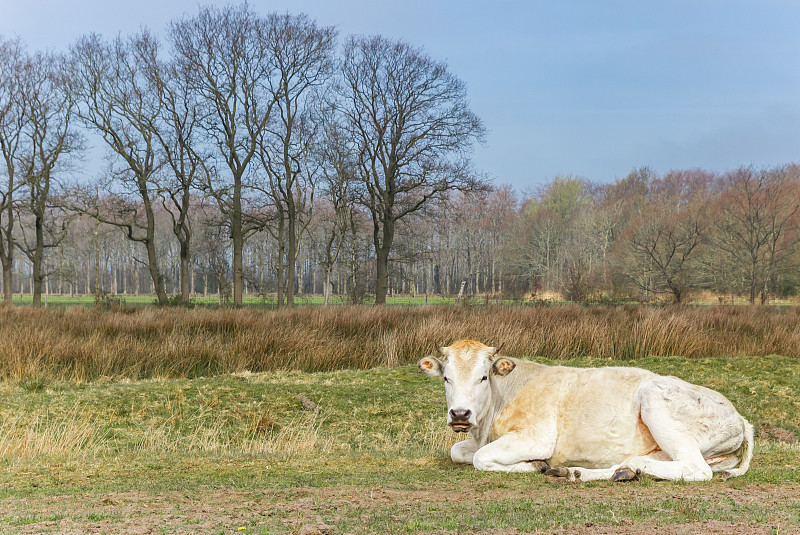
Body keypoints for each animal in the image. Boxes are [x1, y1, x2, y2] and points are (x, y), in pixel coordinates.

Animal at [422, 342, 752, 484]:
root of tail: (741, 418)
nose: (460, 414)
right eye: (446, 378)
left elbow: (480, 458)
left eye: (483, 377)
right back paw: (588, 473)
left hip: (655, 400)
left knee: (698, 469)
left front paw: (534, 465)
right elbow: (457, 451)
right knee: (637, 462)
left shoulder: (536, 437)